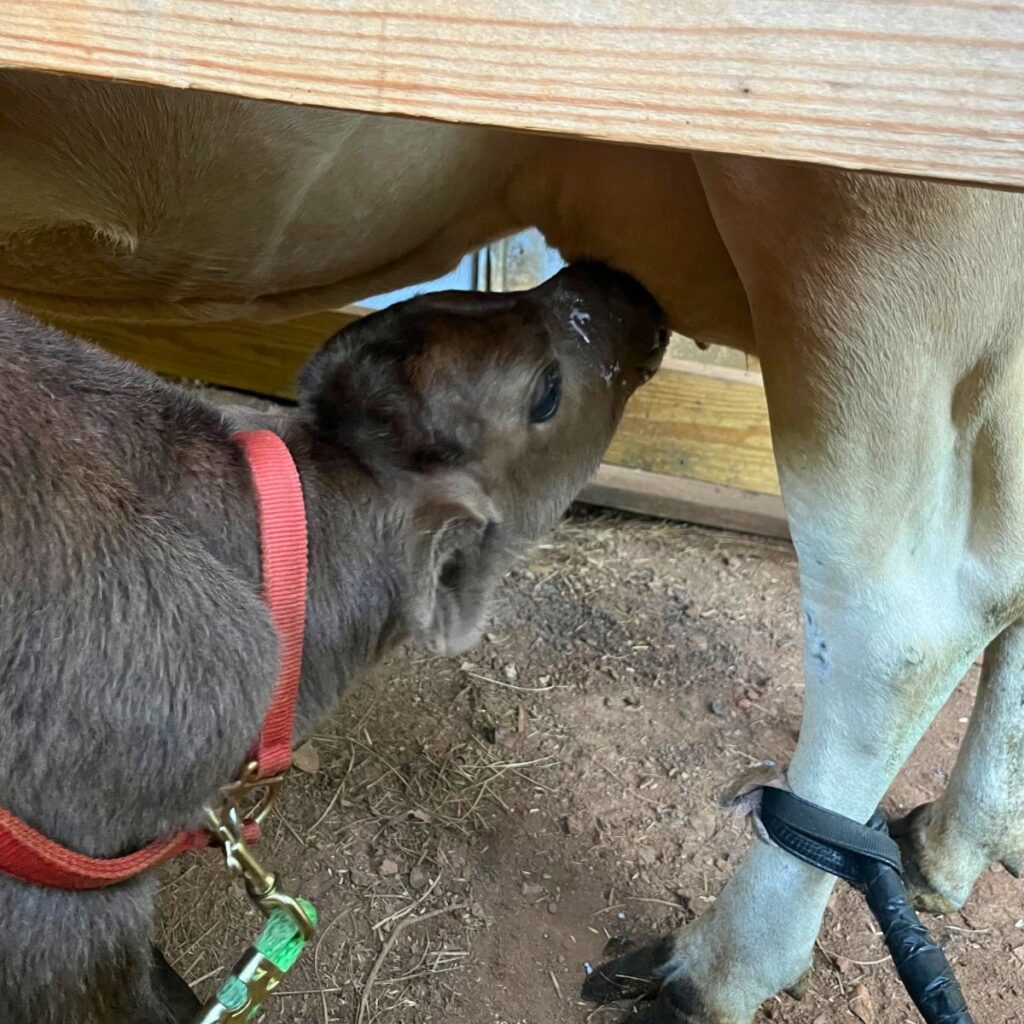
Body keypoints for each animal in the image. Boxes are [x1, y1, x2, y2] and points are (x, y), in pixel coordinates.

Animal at [1, 68, 1022, 1023]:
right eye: (538, 387)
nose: (615, 280)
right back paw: (943, 847)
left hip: (859, 241)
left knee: (904, 626)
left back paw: (715, 969)